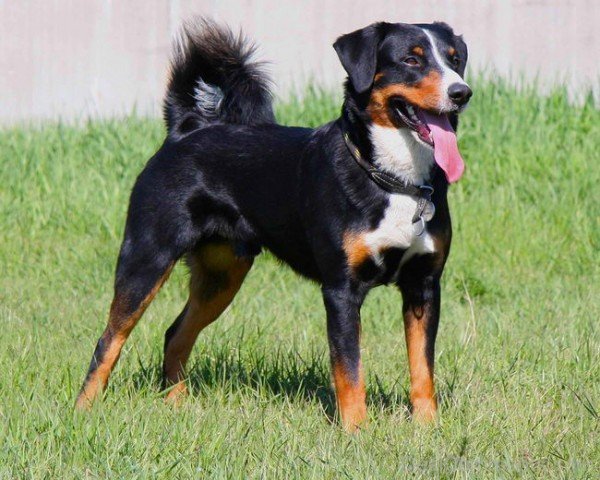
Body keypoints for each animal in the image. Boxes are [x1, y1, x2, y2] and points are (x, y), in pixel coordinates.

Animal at [75, 17, 472, 432]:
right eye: (411, 60)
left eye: (454, 59)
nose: (461, 92)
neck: (394, 179)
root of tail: (187, 129)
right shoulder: (341, 291)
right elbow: (349, 371)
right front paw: (356, 432)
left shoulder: (423, 286)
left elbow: (422, 368)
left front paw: (428, 428)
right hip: (146, 260)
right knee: (109, 341)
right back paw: (83, 411)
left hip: (221, 277)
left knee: (176, 334)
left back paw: (177, 407)